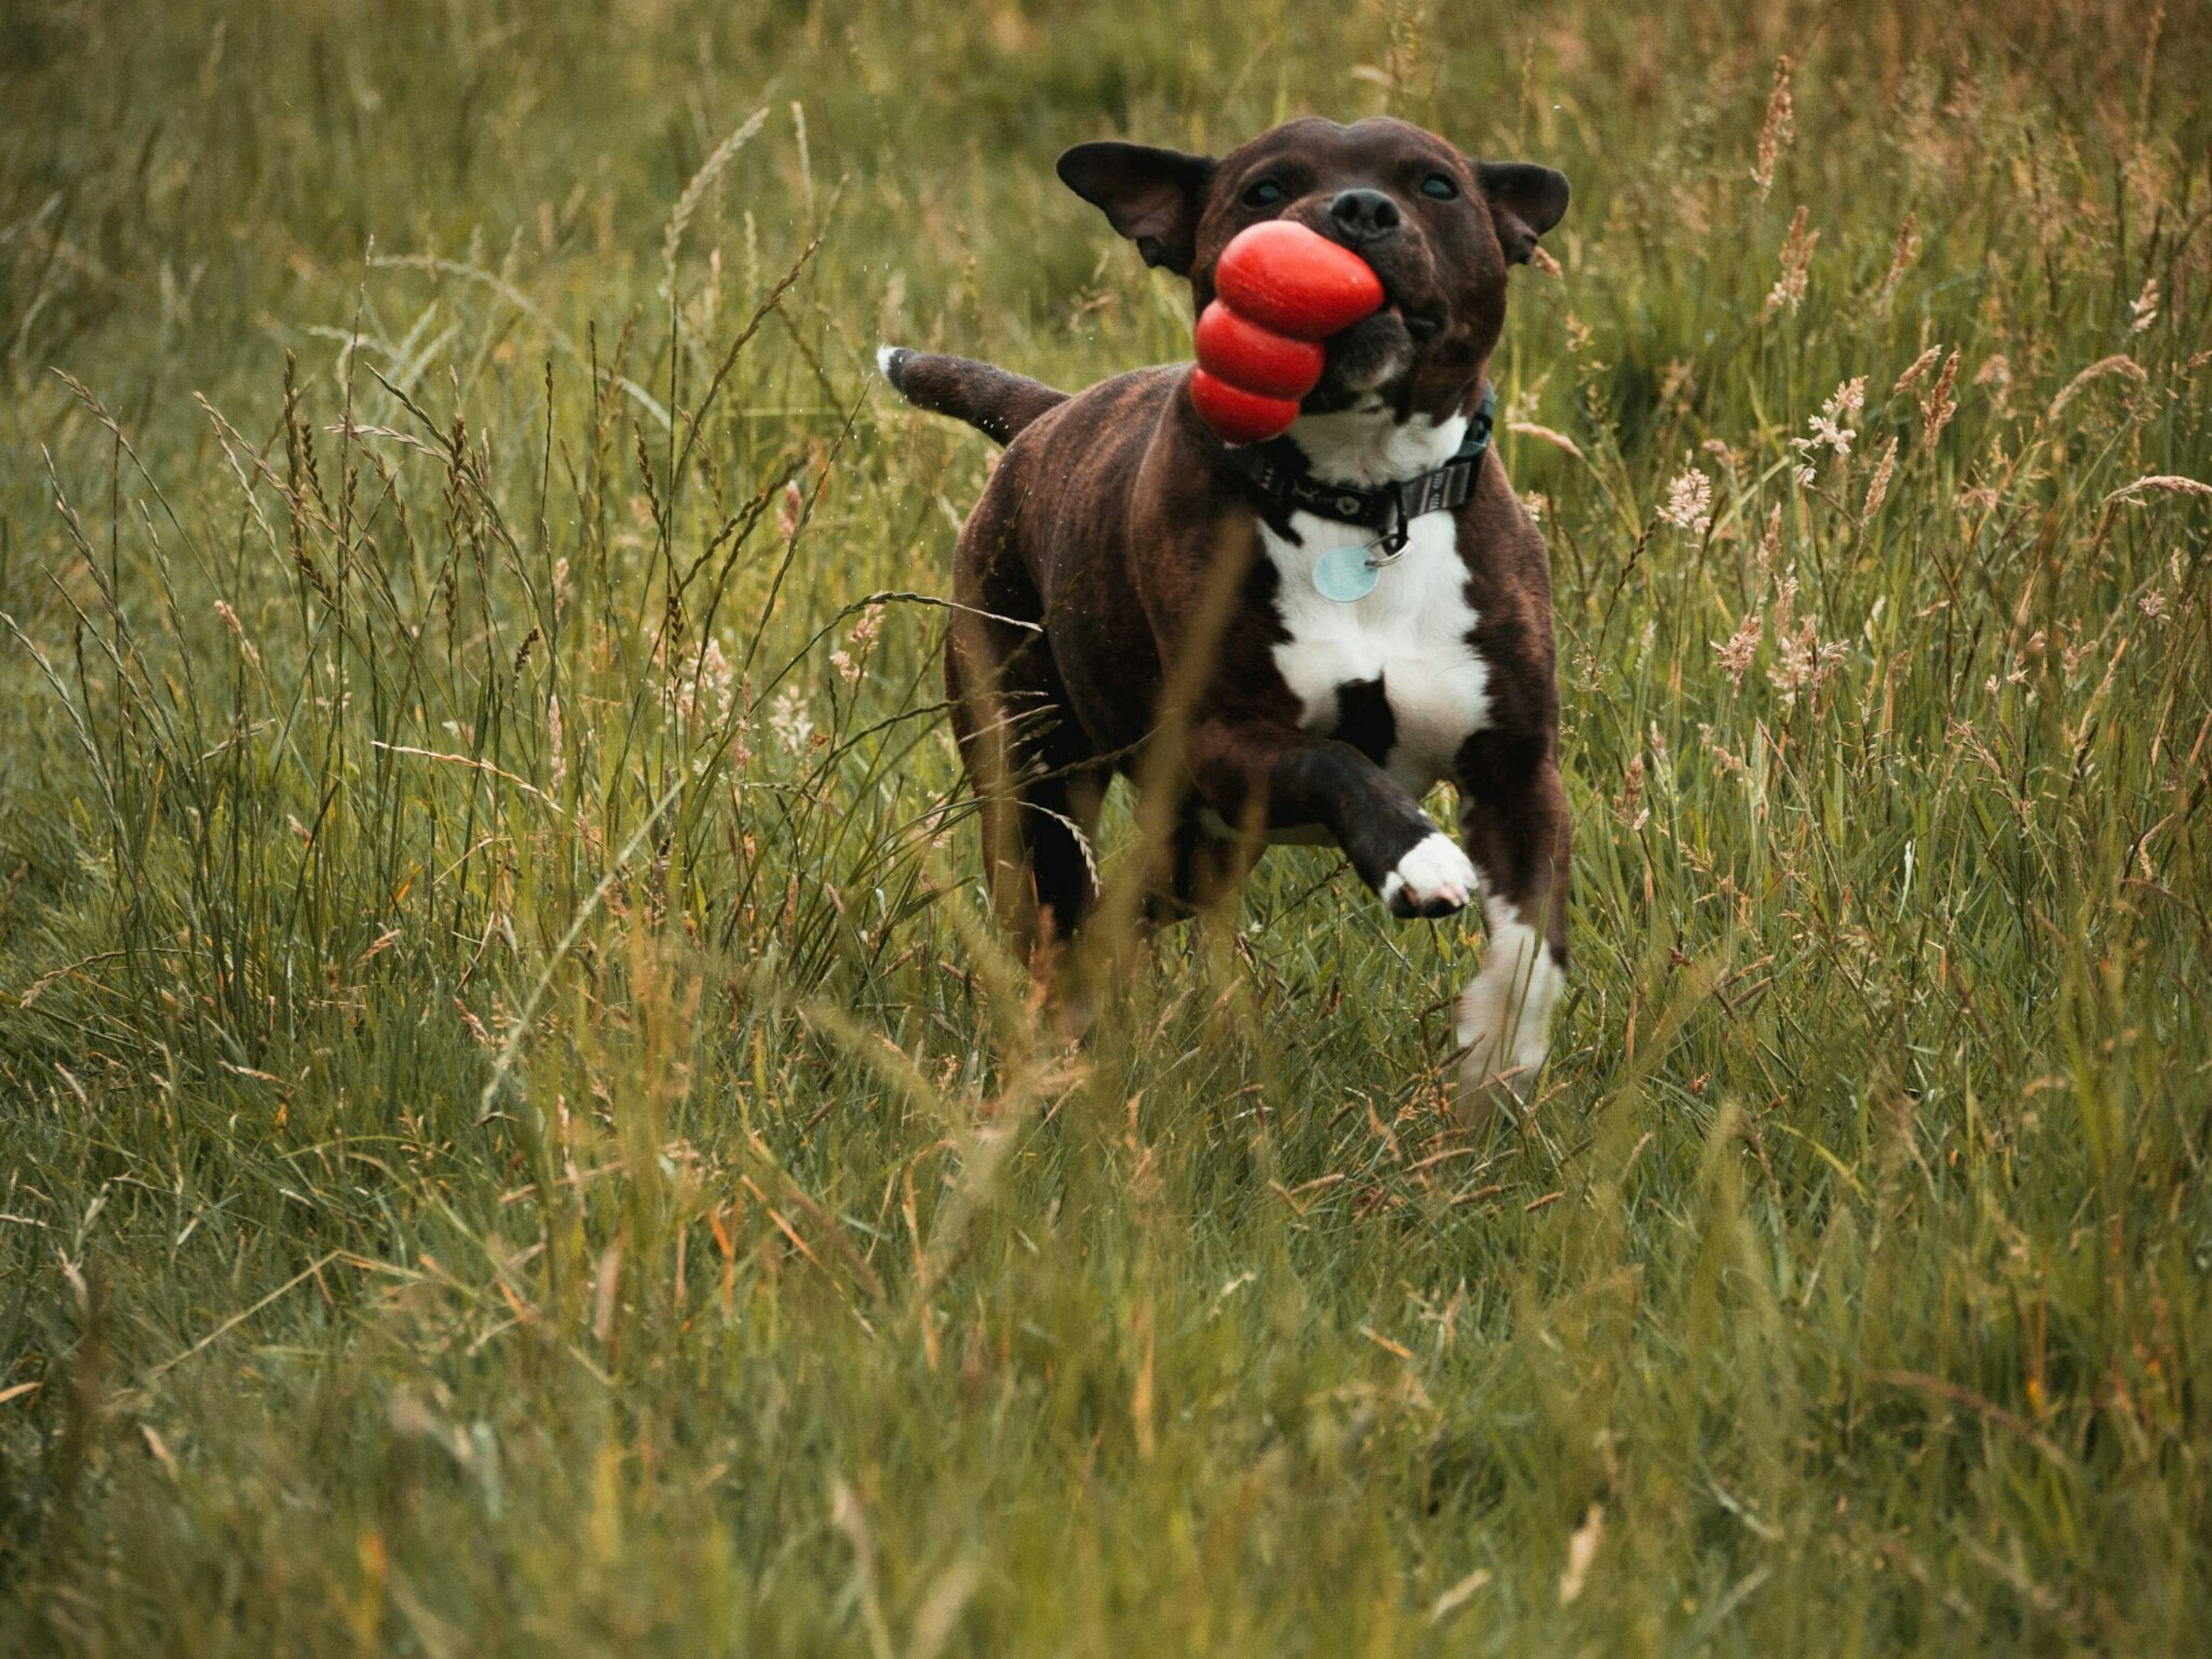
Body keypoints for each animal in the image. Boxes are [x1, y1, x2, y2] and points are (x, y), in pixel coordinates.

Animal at [880, 111, 1575, 1110]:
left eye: (1436, 185)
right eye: (1266, 190)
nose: (1360, 209)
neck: (1360, 498)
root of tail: (1048, 415)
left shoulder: (1519, 768)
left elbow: (1533, 937)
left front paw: (1496, 1049)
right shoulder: (1218, 738)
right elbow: (1334, 758)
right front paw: (1417, 856)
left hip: (1196, 848)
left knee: (1124, 912)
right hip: (1032, 777)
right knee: (1057, 916)